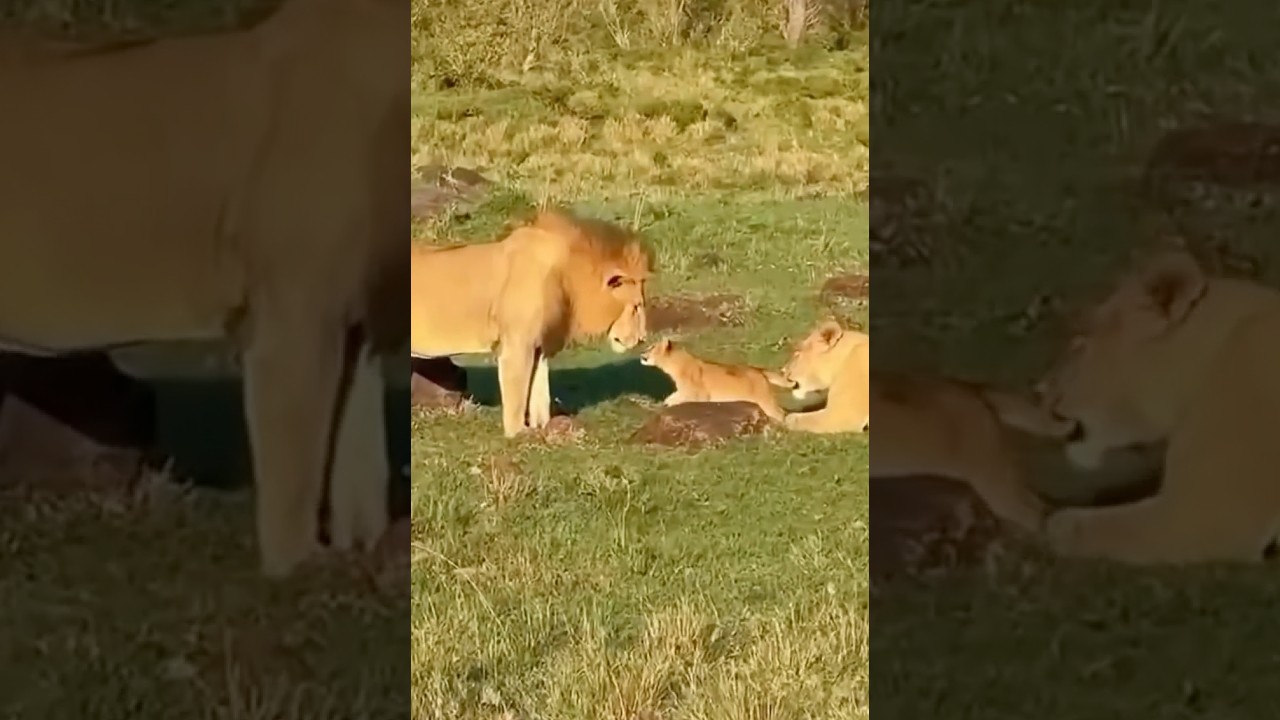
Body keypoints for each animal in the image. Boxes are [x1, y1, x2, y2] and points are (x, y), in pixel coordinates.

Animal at [0, 0, 408, 577]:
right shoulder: (291, 320)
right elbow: (295, 478)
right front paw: (291, 577)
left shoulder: (357, 320)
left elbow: (360, 465)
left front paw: (363, 565)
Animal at [410, 209, 654, 437]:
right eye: (636, 306)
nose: (642, 338)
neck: (566, 280)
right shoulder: (517, 345)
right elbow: (518, 394)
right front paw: (517, 433)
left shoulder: (539, 346)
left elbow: (540, 392)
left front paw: (544, 428)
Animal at [639, 337, 796, 421]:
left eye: (651, 347)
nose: (641, 354)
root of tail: (758, 370)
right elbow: (672, 397)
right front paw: (666, 402)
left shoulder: (700, 395)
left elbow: (679, 399)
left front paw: (669, 403)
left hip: (765, 400)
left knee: (781, 413)